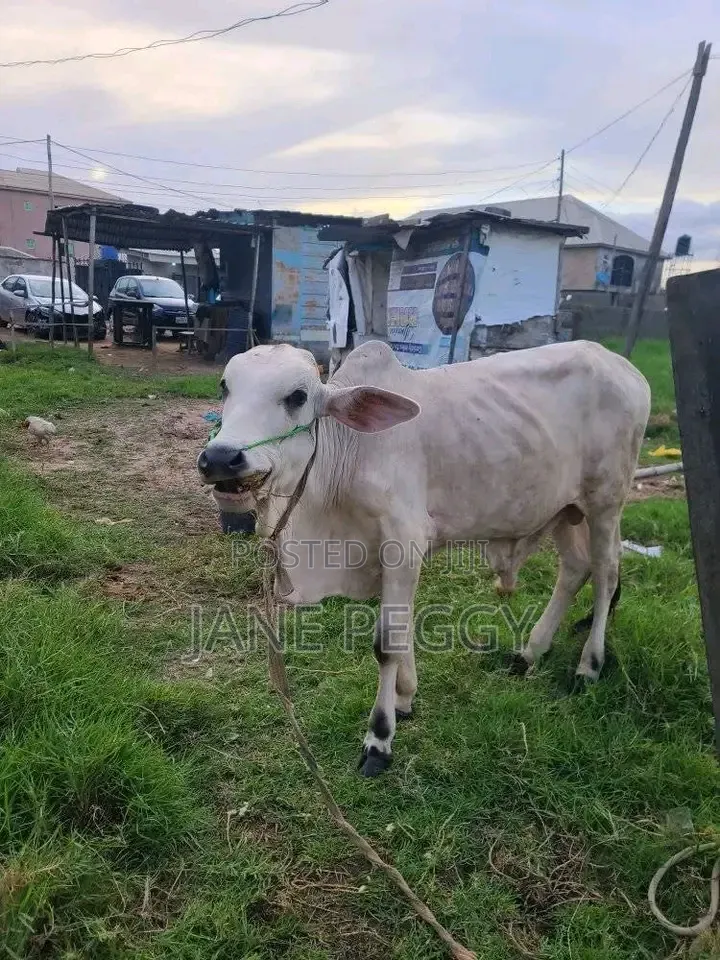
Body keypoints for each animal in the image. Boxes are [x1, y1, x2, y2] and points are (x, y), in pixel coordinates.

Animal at [197, 339, 651, 776]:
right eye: (225, 387)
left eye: (297, 395)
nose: (220, 458)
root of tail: (624, 368)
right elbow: (404, 631)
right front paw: (404, 699)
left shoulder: (402, 542)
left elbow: (387, 643)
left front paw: (379, 739)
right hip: (563, 510)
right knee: (574, 568)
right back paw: (529, 654)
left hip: (606, 502)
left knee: (606, 574)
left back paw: (588, 666)